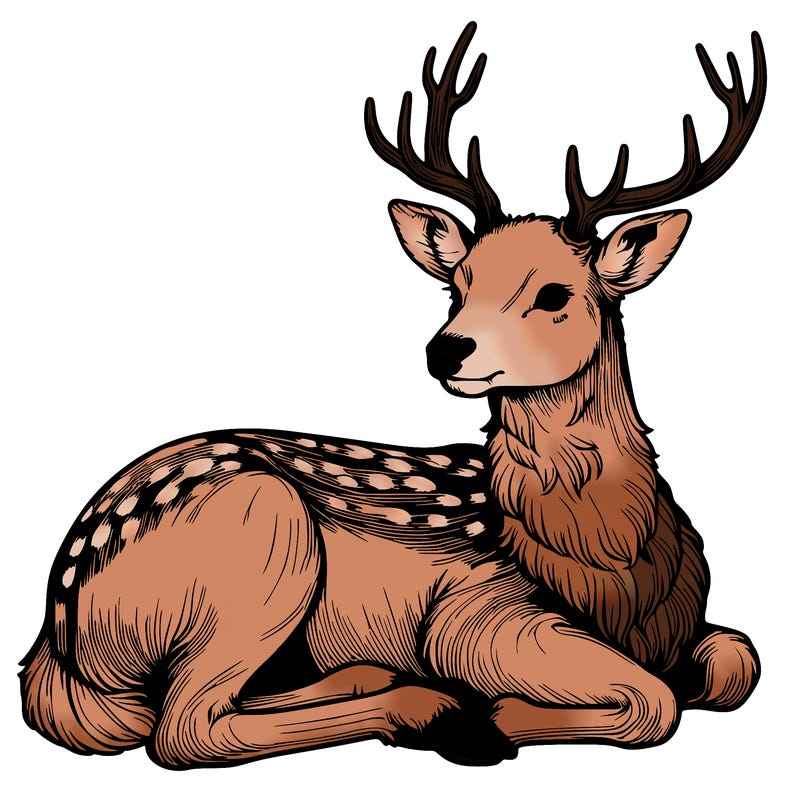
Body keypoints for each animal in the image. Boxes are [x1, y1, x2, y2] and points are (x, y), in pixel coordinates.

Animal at [20, 23, 765, 769]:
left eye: (555, 293)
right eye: (458, 284)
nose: (446, 348)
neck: (613, 571)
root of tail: (53, 641)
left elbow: (737, 660)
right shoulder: (479, 610)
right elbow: (655, 702)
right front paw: (495, 714)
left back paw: (379, 678)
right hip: (265, 540)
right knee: (182, 727)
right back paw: (434, 711)